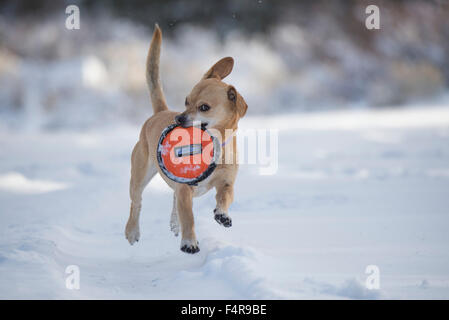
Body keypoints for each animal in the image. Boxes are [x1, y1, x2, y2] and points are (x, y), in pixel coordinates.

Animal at [124, 24, 247, 255]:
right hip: (139, 175)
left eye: (204, 107)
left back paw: (174, 222)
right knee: (136, 202)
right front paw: (189, 241)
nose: (178, 119)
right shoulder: (185, 189)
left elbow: (225, 196)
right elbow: (189, 217)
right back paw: (132, 231)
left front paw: (223, 215)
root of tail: (159, 112)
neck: (214, 145)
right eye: (186, 101)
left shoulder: (226, 181)